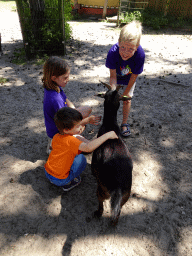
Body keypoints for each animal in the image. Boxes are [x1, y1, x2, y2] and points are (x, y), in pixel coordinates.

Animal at [91, 83, 133, 225]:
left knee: (100, 203)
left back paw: (97, 213)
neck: (110, 125)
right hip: (126, 195)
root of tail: (117, 188)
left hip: (102, 189)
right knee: (118, 212)